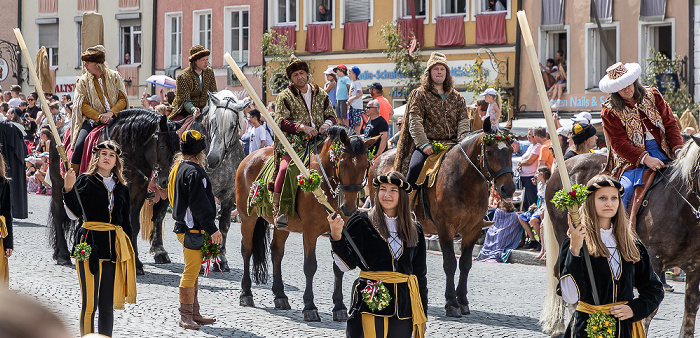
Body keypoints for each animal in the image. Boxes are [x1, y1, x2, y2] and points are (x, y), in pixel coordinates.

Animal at [48, 109, 182, 276]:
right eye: (163, 146)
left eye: (179, 147)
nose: (166, 182)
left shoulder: (138, 195)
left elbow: (134, 226)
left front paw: (136, 263)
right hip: (58, 185)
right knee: (59, 214)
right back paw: (63, 255)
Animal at [234, 125, 378, 322]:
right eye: (342, 164)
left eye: (365, 166)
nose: (348, 208)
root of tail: (249, 156)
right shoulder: (310, 231)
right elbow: (310, 266)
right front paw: (310, 307)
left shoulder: (339, 230)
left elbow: (338, 265)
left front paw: (339, 307)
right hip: (247, 218)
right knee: (247, 250)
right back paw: (246, 294)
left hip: (282, 226)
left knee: (276, 252)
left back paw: (280, 296)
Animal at [372, 120, 516, 318]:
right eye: (489, 151)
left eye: (510, 151)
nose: (508, 189)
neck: (464, 181)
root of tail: (379, 157)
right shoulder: (445, 229)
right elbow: (450, 264)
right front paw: (452, 303)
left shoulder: (472, 230)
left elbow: (465, 264)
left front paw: (462, 301)